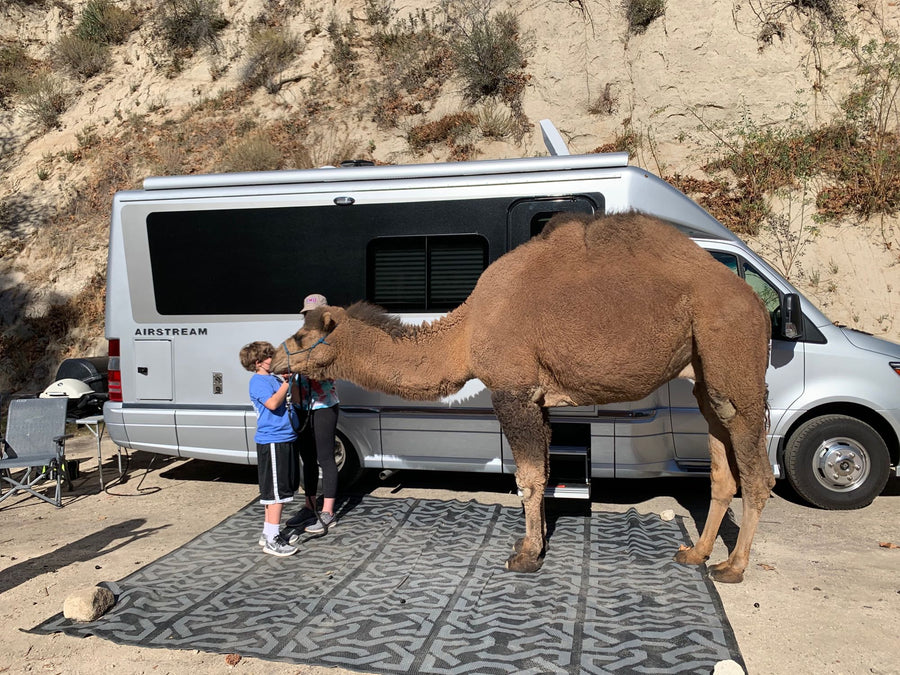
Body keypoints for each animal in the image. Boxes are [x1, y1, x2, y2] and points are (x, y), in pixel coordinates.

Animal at [272, 211, 775, 583]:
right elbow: (544, 474)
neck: (466, 331)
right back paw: (696, 553)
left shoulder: (513, 392)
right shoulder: (538, 400)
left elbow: (528, 479)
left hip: (732, 348)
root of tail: (761, 302)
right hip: (704, 372)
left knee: (756, 468)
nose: (269, 357)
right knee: (720, 460)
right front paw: (536, 541)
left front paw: (526, 555)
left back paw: (733, 566)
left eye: (301, 336)